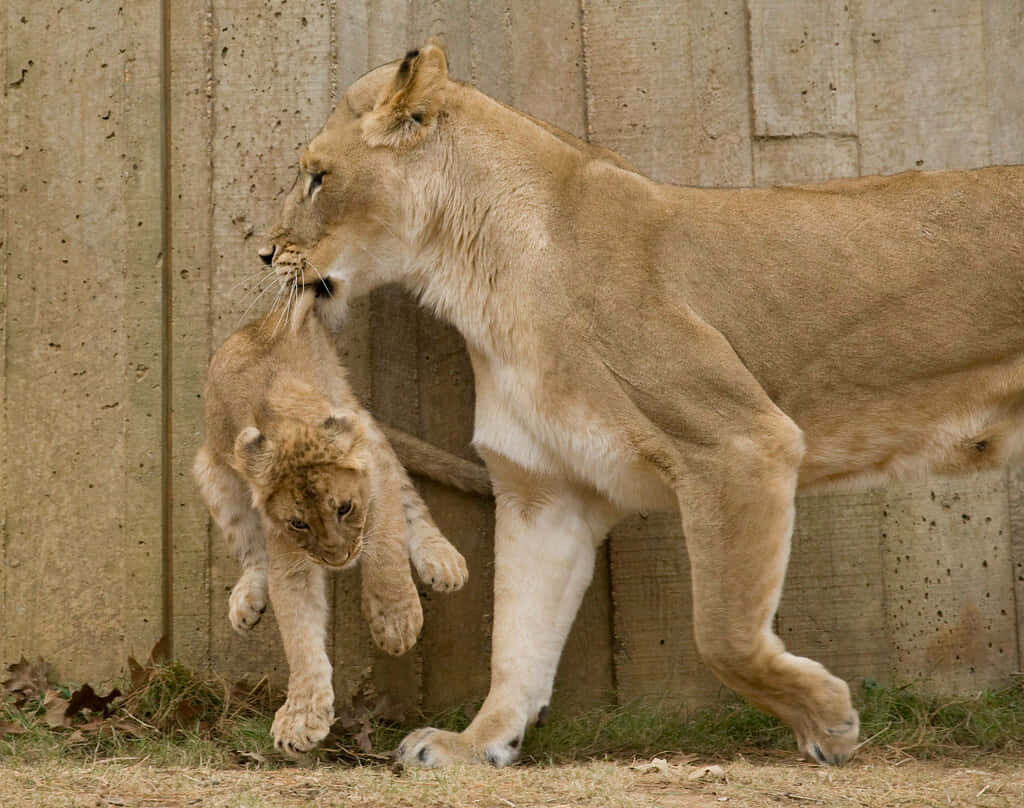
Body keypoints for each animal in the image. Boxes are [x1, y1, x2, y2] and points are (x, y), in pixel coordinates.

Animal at [193, 288, 468, 754]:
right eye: (298, 524)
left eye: (344, 509)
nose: (338, 559)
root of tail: (256, 323)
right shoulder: (288, 552)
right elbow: (299, 631)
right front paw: (302, 718)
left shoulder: (374, 471)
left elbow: (387, 551)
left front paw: (394, 622)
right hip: (213, 470)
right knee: (250, 552)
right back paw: (246, 600)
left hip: (371, 429)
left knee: (411, 502)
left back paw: (441, 561)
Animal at [258, 43, 1024, 766]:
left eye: (317, 175)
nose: (265, 255)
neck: (480, 277)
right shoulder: (545, 489)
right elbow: (517, 640)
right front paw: (477, 744)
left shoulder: (739, 441)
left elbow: (723, 633)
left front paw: (825, 721)